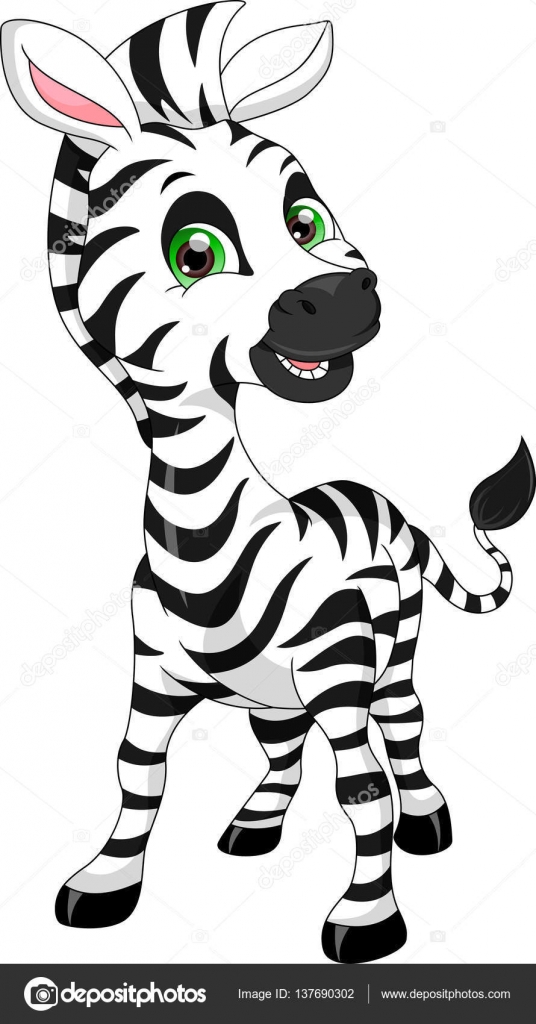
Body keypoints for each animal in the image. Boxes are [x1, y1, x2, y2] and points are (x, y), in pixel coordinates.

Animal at [2, 4, 534, 965]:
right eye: (195, 250)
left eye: (304, 218)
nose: (347, 299)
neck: (210, 542)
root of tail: (380, 499)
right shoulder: (151, 676)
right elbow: (136, 773)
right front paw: (105, 883)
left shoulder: (339, 664)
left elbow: (362, 794)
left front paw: (368, 920)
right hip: (276, 693)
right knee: (282, 747)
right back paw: (254, 825)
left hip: (390, 647)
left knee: (403, 726)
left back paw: (427, 819)